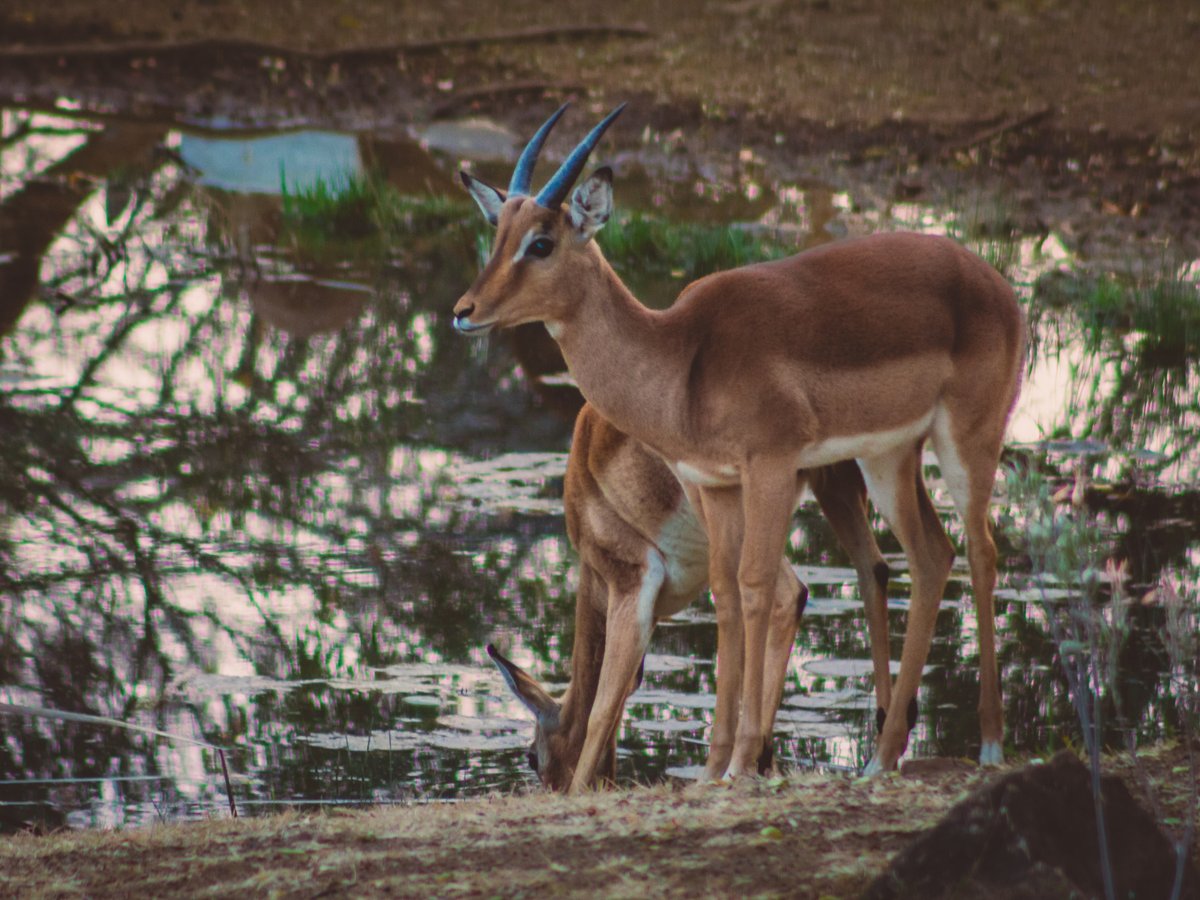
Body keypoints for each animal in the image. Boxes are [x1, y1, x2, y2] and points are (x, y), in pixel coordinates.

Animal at [488, 402, 889, 792]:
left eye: (531, 757)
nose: (550, 790)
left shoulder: (630, 585)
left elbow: (602, 706)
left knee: (788, 594)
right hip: (841, 484)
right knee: (875, 570)